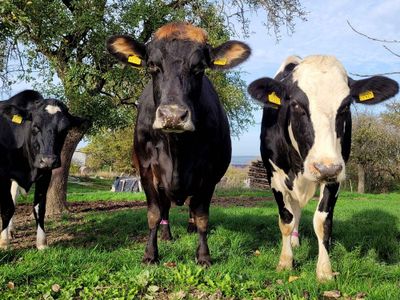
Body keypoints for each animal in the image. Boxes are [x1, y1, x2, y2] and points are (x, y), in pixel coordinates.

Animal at [0, 90, 81, 250]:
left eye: (65, 129)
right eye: (35, 126)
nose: (48, 160)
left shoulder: (45, 174)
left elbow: (39, 208)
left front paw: (42, 243)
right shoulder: (3, 174)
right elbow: (7, 208)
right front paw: (3, 242)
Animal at [106, 21, 250, 264]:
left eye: (200, 67)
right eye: (152, 65)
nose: (172, 115)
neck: (176, 149)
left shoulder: (209, 174)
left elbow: (202, 216)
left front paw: (203, 256)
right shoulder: (147, 170)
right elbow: (154, 214)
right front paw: (150, 254)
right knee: (165, 209)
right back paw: (166, 234)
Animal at [248, 55, 398, 282]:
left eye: (346, 106)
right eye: (295, 104)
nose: (325, 168)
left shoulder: (336, 175)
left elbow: (322, 222)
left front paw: (325, 271)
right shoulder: (274, 176)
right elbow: (286, 219)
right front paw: (285, 262)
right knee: (295, 211)